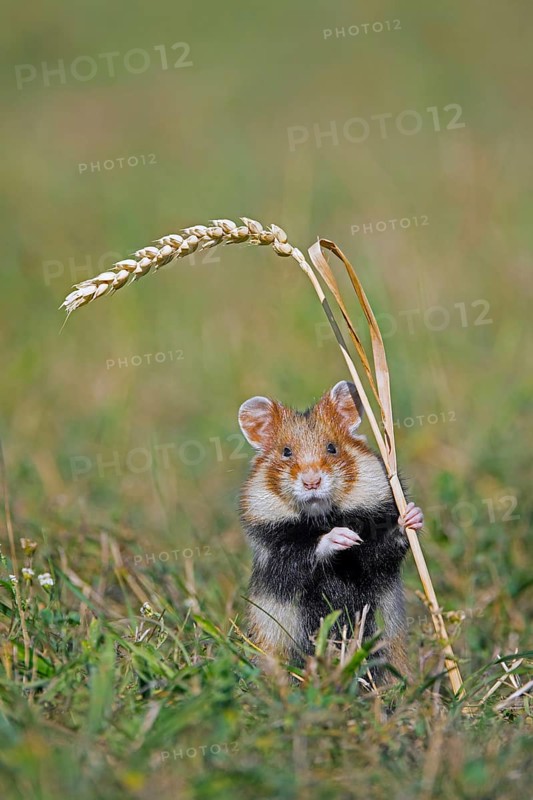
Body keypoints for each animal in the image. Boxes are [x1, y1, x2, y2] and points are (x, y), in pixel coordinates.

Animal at [238, 380, 424, 681]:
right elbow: (303, 554)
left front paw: (412, 516)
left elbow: (382, 548)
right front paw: (342, 536)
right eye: (286, 452)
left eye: (332, 448)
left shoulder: (373, 557)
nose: (312, 482)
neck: (322, 516)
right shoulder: (276, 553)